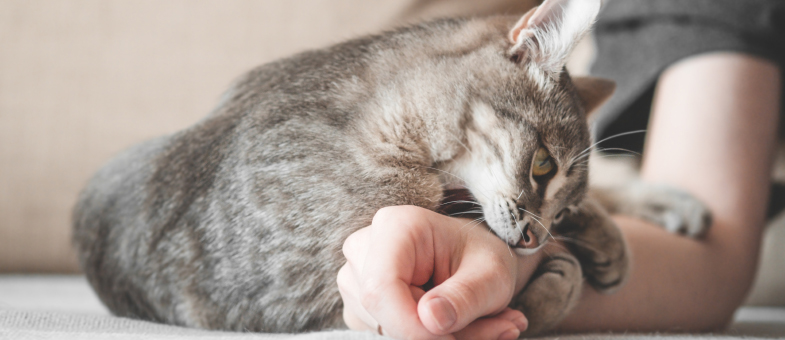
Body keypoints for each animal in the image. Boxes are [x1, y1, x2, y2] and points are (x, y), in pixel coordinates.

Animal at [72, 0, 712, 336]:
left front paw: (595, 232)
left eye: (562, 197)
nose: (537, 238)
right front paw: (554, 281)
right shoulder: (319, 307)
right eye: (542, 165)